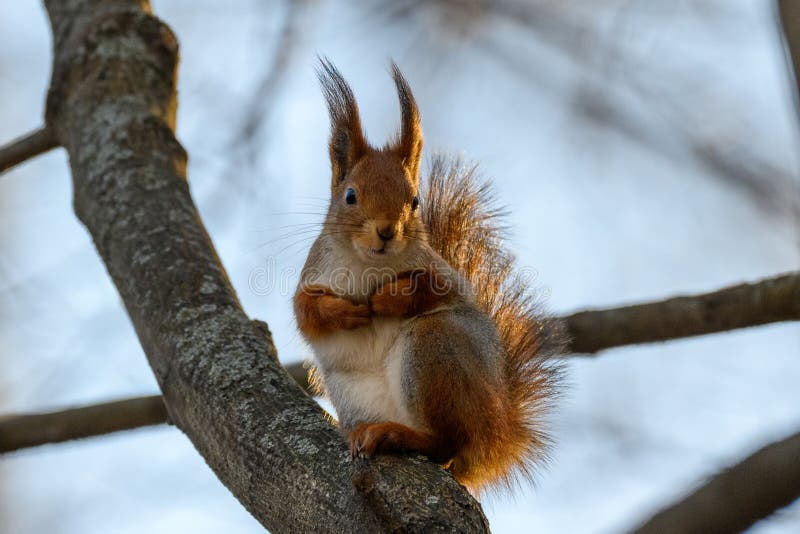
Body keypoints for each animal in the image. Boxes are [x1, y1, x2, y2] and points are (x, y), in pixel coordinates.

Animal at [294, 58, 563, 492]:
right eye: (350, 196)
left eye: (414, 201)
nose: (387, 231)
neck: (370, 265)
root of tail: (496, 436)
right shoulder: (313, 273)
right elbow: (305, 313)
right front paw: (345, 312)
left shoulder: (444, 275)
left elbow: (436, 292)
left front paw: (387, 299)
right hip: (353, 391)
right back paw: (368, 433)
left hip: (433, 349)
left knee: (446, 443)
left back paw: (398, 435)